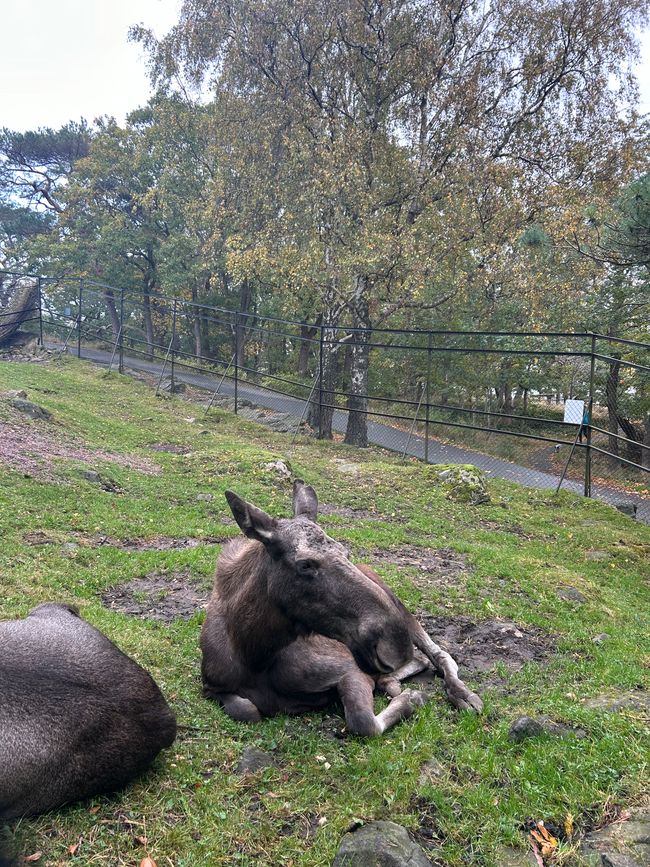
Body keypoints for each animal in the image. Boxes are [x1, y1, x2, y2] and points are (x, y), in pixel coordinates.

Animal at [201, 478, 480, 736]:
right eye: (305, 564)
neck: (253, 650)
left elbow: (363, 722)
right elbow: (246, 710)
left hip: (401, 609)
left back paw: (463, 695)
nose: (395, 645)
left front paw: (414, 698)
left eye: (346, 552)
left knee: (439, 654)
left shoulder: (350, 671)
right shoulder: (211, 687)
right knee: (419, 660)